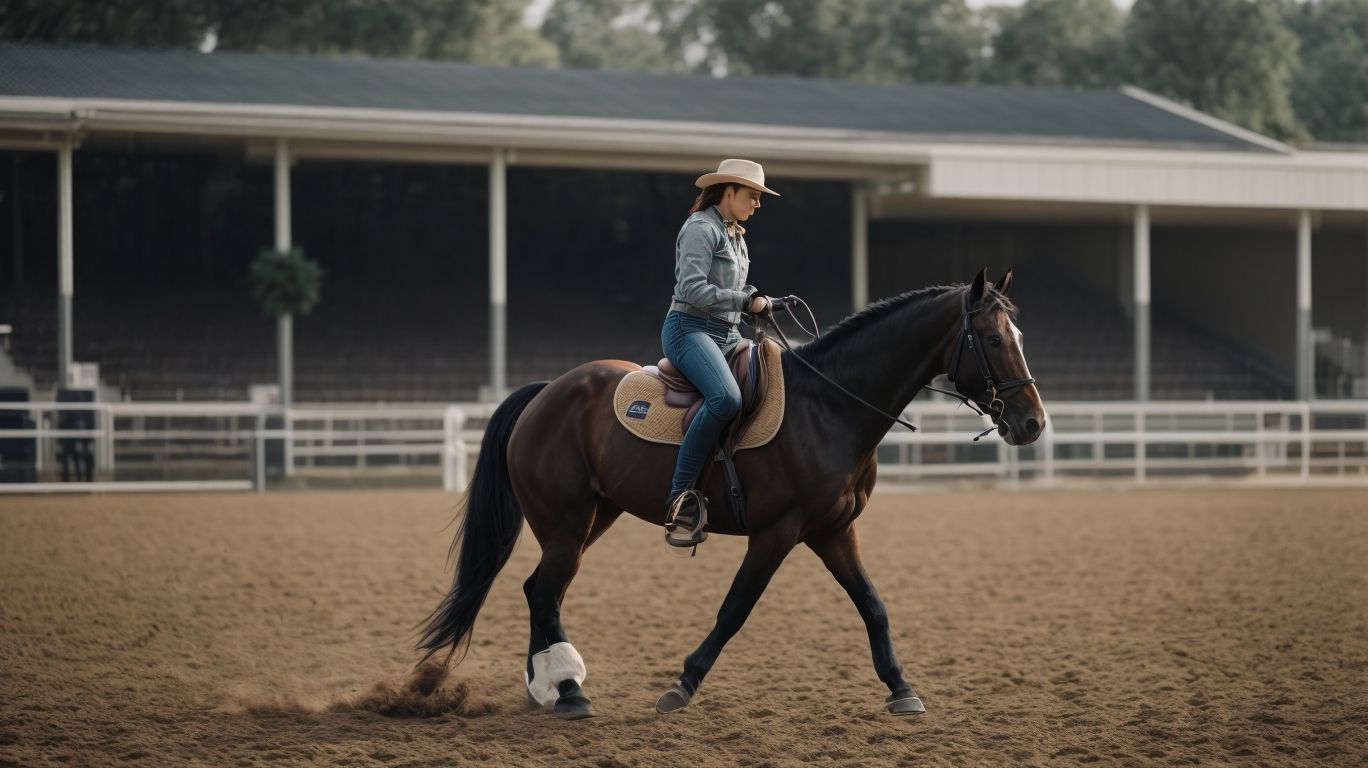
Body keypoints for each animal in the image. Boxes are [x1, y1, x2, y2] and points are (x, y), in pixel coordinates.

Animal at [417, 268, 1046, 719]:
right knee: (546, 591)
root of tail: (548, 391)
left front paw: (902, 688)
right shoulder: (777, 533)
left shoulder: (833, 530)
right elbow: (735, 609)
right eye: (993, 338)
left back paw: (547, 686)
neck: (829, 406)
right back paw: (570, 690)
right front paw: (682, 684)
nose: (1033, 423)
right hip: (567, 523)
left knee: (539, 589)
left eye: (1020, 336)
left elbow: (873, 605)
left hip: (591, 520)